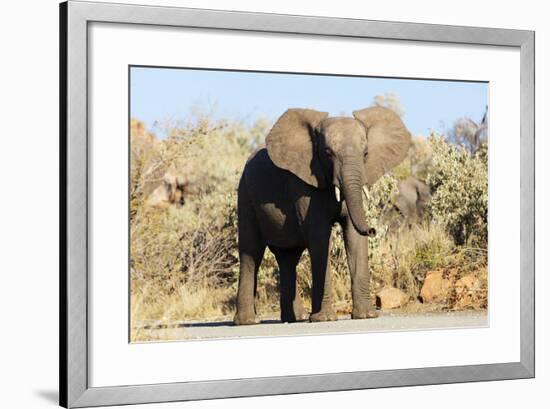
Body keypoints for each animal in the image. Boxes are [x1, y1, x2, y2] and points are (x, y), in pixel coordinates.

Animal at [235, 107, 412, 324]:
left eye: (366, 153)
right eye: (327, 153)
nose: (372, 229)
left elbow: (354, 235)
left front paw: (366, 316)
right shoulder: (303, 185)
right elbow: (319, 238)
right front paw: (325, 319)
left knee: (288, 257)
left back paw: (297, 318)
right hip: (245, 196)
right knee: (251, 254)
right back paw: (248, 321)